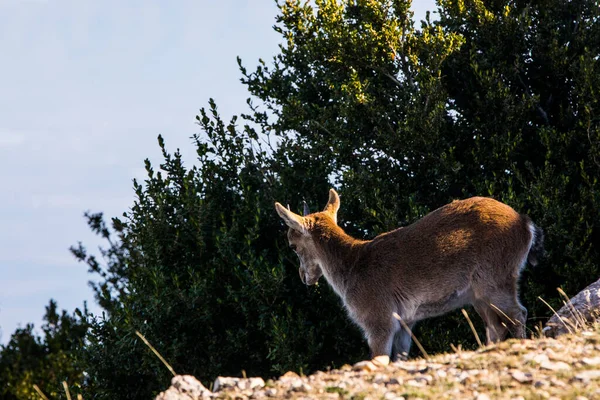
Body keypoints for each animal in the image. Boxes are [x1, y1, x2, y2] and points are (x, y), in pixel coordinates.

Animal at [276, 190, 544, 360]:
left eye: (292, 244)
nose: (304, 277)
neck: (352, 269)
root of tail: (526, 225)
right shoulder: (406, 322)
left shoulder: (378, 318)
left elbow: (380, 358)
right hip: (480, 295)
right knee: (496, 324)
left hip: (496, 278)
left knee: (517, 314)